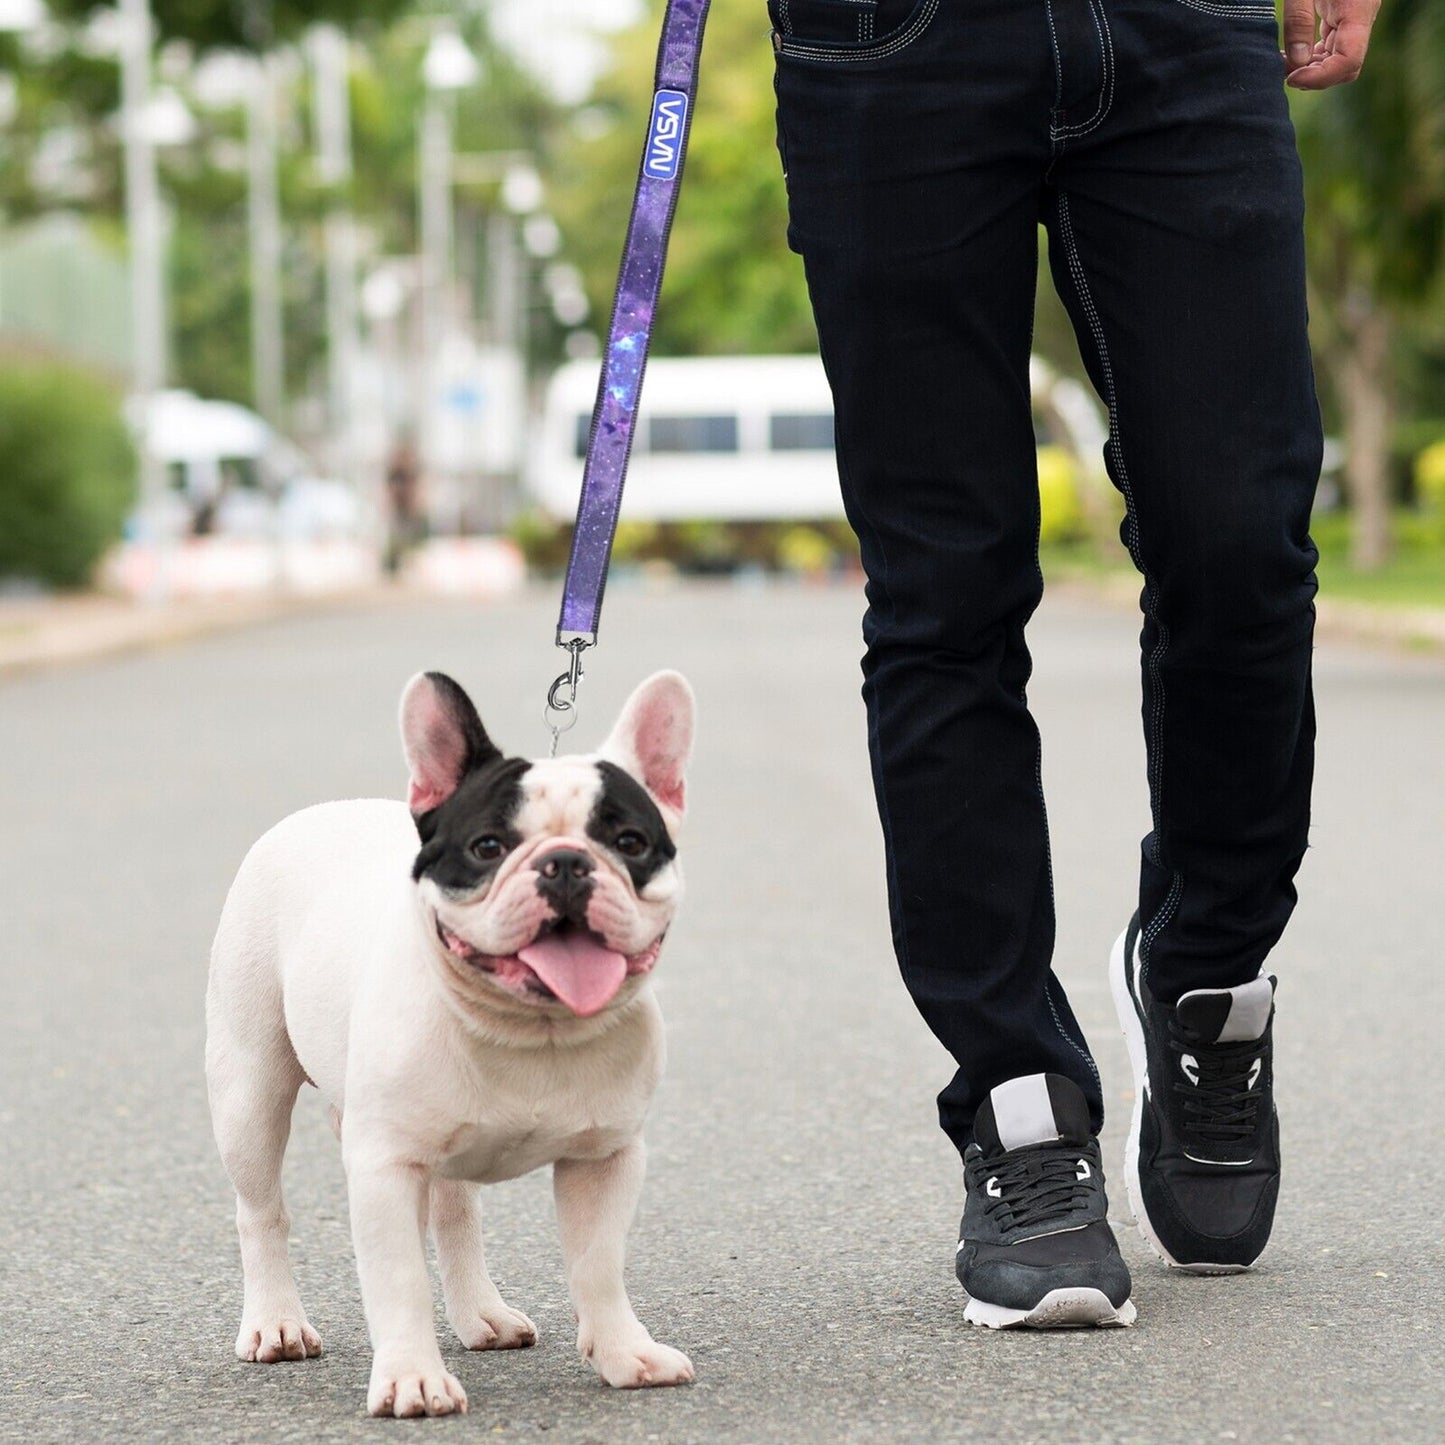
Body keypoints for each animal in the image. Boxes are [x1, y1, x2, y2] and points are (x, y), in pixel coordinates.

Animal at [206, 670, 696, 1416]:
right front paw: (412, 1378)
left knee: (454, 1215)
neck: (532, 1029)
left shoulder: (605, 1158)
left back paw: (481, 1315)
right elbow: (398, 1279)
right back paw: (276, 1323)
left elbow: (598, 1265)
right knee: (260, 1211)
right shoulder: (383, 1166)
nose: (564, 863)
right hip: (250, 1091)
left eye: (631, 843)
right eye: (488, 847)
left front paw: (624, 1353)